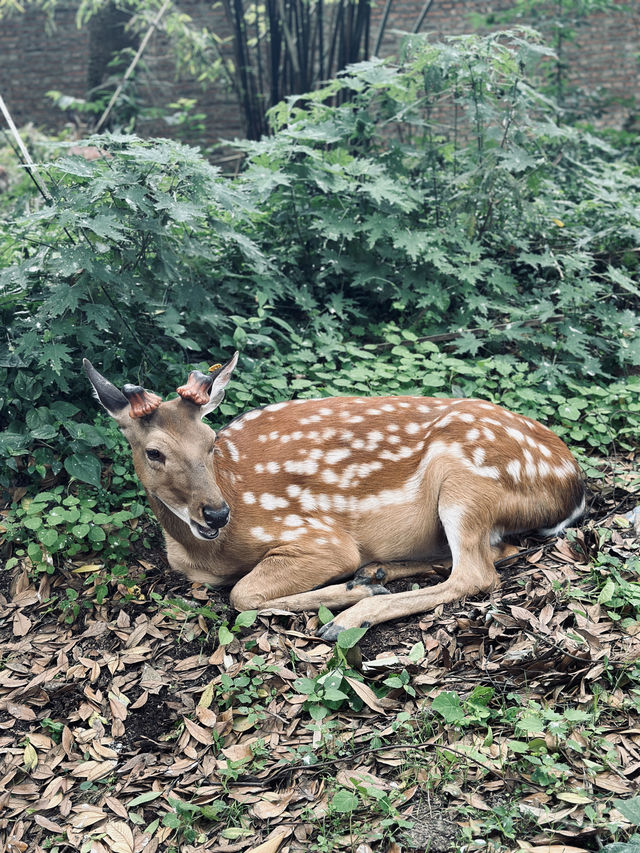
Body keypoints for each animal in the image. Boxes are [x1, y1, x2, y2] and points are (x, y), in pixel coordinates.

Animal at [84, 352, 584, 640]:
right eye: (154, 452)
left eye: (211, 441)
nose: (216, 513)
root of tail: (573, 483)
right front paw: (359, 582)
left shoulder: (319, 536)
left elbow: (242, 595)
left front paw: (347, 591)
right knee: (500, 551)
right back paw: (376, 573)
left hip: (466, 482)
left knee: (477, 574)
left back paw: (352, 613)